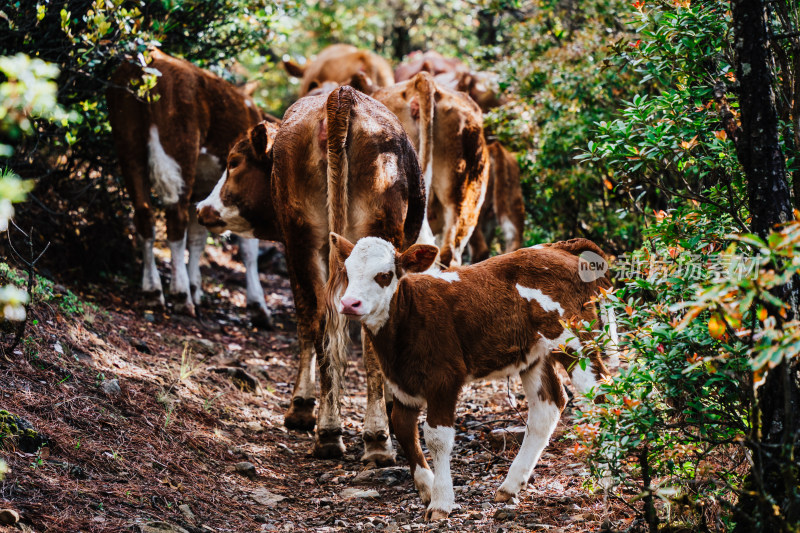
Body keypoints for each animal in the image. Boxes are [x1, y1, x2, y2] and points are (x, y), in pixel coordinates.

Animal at [107, 51, 276, 324]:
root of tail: (151, 56)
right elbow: (248, 249)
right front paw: (258, 305)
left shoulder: (205, 193)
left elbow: (198, 238)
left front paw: (197, 287)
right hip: (179, 148)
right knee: (175, 220)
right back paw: (180, 294)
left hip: (128, 145)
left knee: (144, 215)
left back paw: (154, 290)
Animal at [196, 85, 428, 464]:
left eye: (233, 162)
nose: (203, 208)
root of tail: (341, 97)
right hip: (341, 235)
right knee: (334, 321)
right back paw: (364, 435)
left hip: (304, 237)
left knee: (318, 317)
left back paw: (340, 432)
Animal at [328, 235, 616, 516]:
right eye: (347, 273)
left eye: (384, 275)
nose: (349, 303)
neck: (408, 317)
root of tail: (559, 247)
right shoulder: (401, 383)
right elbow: (403, 428)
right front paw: (426, 487)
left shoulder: (444, 378)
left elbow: (437, 437)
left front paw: (441, 502)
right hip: (536, 354)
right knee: (548, 407)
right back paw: (511, 485)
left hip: (574, 340)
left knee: (603, 395)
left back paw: (607, 478)